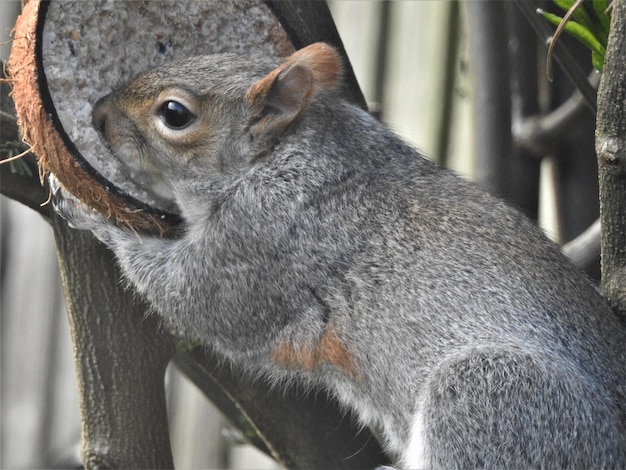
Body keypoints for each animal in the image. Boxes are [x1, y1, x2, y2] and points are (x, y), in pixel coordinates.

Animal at [53, 43, 624, 466]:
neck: (290, 156)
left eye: (174, 113)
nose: (98, 113)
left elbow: (195, 299)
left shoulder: (262, 243)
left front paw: (92, 214)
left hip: (493, 399)